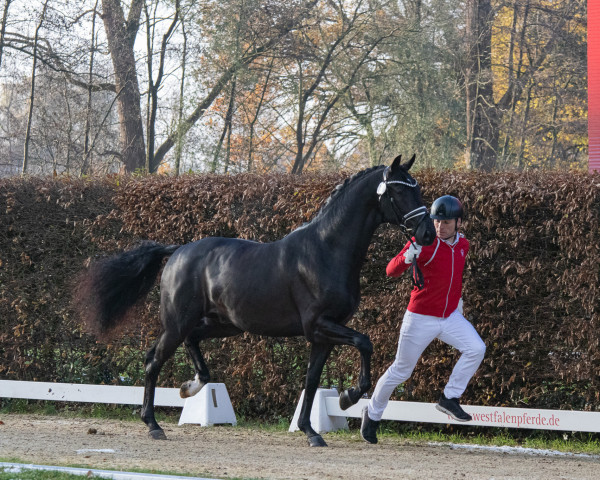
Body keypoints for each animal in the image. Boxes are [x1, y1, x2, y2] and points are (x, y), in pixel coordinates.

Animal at [78, 154, 436, 446]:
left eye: (417, 189)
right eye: (399, 192)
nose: (428, 234)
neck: (326, 250)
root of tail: (177, 251)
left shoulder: (322, 335)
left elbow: (311, 380)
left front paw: (311, 431)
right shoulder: (319, 326)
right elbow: (365, 343)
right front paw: (348, 397)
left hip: (222, 324)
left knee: (191, 342)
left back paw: (192, 386)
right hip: (178, 322)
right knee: (153, 360)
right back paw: (153, 424)